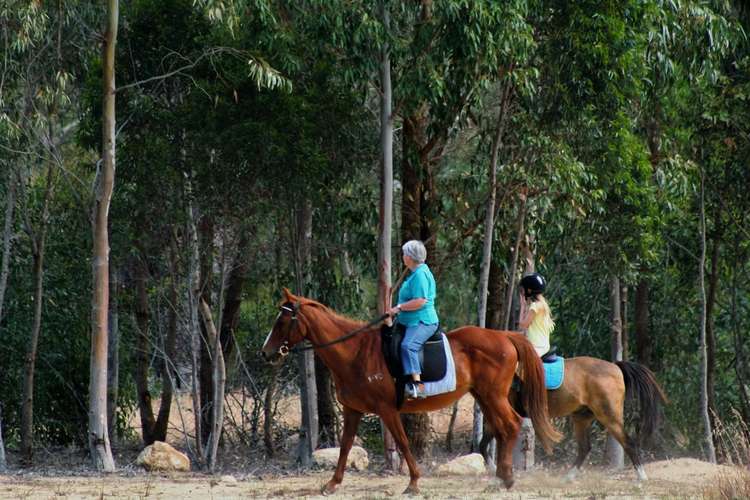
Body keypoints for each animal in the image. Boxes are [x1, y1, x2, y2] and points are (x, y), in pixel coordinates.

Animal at [262, 290, 560, 496]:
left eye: (282, 321)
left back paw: (505, 479)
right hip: (484, 396)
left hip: (493, 395)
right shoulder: (352, 410)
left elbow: (403, 443)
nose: (266, 353)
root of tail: (505, 336)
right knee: (502, 428)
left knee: (510, 425)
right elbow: (345, 446)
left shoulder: (387, 409)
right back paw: (501, 478)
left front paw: (414, 483)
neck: (354, 353)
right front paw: (332, 484)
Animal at [482, 356, 668, 480]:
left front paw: (495, 473)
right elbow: (483, 444)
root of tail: (615, 367)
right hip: (582, 418)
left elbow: (486, 444)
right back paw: (569, 477)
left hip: (609, 417)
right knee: (585, 448)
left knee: (628, 443)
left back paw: (641, 476)